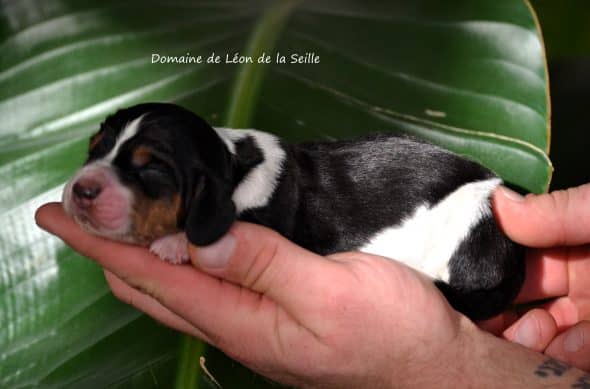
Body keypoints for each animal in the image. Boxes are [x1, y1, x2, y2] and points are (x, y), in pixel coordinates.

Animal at [62, 102, 524, 318]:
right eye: (93, 149)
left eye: (152, 168)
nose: (81, 190)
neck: (233, 164)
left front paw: (174, 243)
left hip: (469, 226)